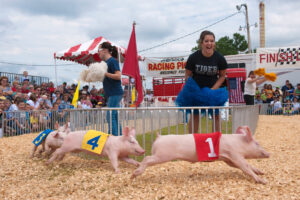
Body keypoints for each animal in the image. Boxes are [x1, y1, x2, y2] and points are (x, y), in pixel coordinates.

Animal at [132, 126, 270, 184]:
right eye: (257, 143)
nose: (269, 154)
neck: (238, 142)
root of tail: (159, 137)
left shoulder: (229, 159)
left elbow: (247, 166)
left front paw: (261, 172)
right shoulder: (234, 154)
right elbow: (245, 167)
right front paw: (263, 181)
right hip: (161, 155)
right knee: (146, 158)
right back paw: (134, 174)